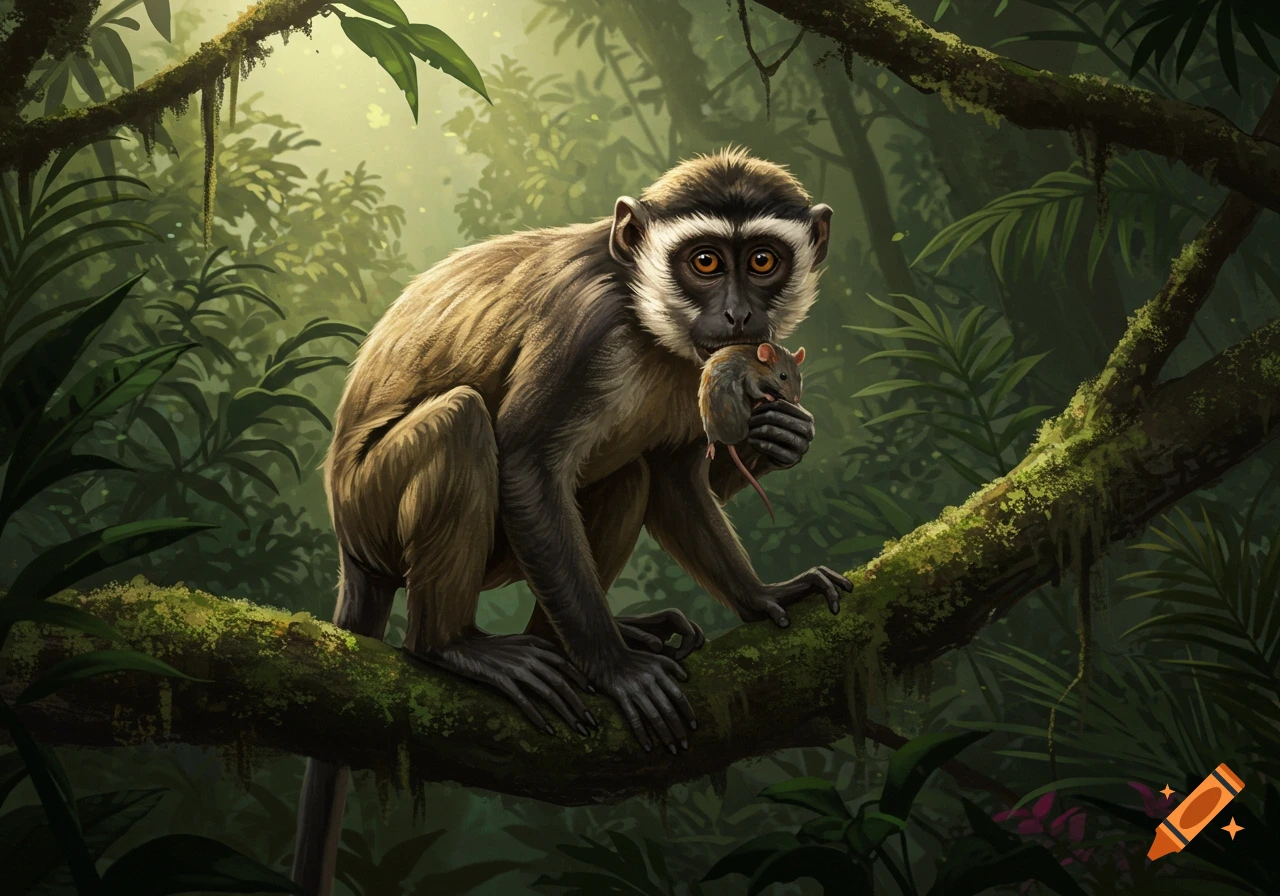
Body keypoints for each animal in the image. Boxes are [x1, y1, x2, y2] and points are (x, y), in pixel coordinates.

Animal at [699, 341, 805, 523]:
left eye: (799, 377)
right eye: (783, 376)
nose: (796, 400)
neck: (760, 363)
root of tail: (729, 439)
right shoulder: (752, 376)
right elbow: (754, 389)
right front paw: (768, 397)